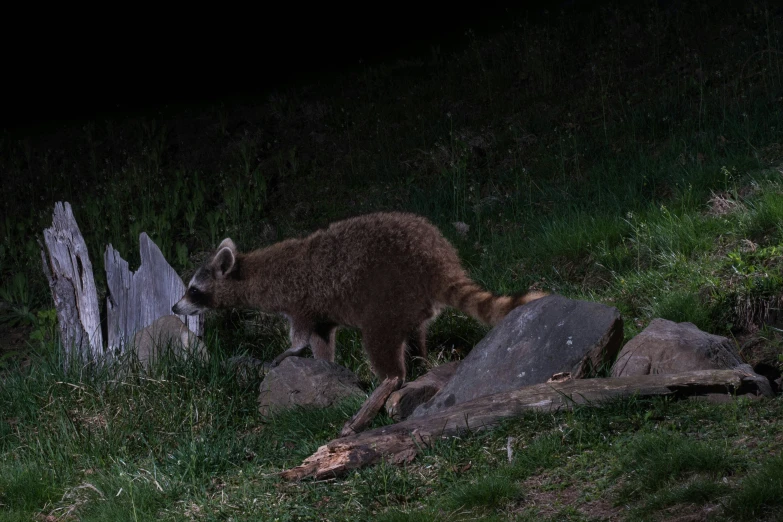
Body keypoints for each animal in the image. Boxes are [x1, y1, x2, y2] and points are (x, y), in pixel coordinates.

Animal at [175, 210, 548, 378]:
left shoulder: (300, 301)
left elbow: (301, 335)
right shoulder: (321, 314)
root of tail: (439, 260)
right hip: (412, 302)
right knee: (415, 335)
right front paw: (325, 366)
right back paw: (419, 364)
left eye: (193, 290)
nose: (176, 308)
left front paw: (285, 354)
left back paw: (391, 382)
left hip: (390, 295)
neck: (251, 268)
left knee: (380, 342)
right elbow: (322, 340)